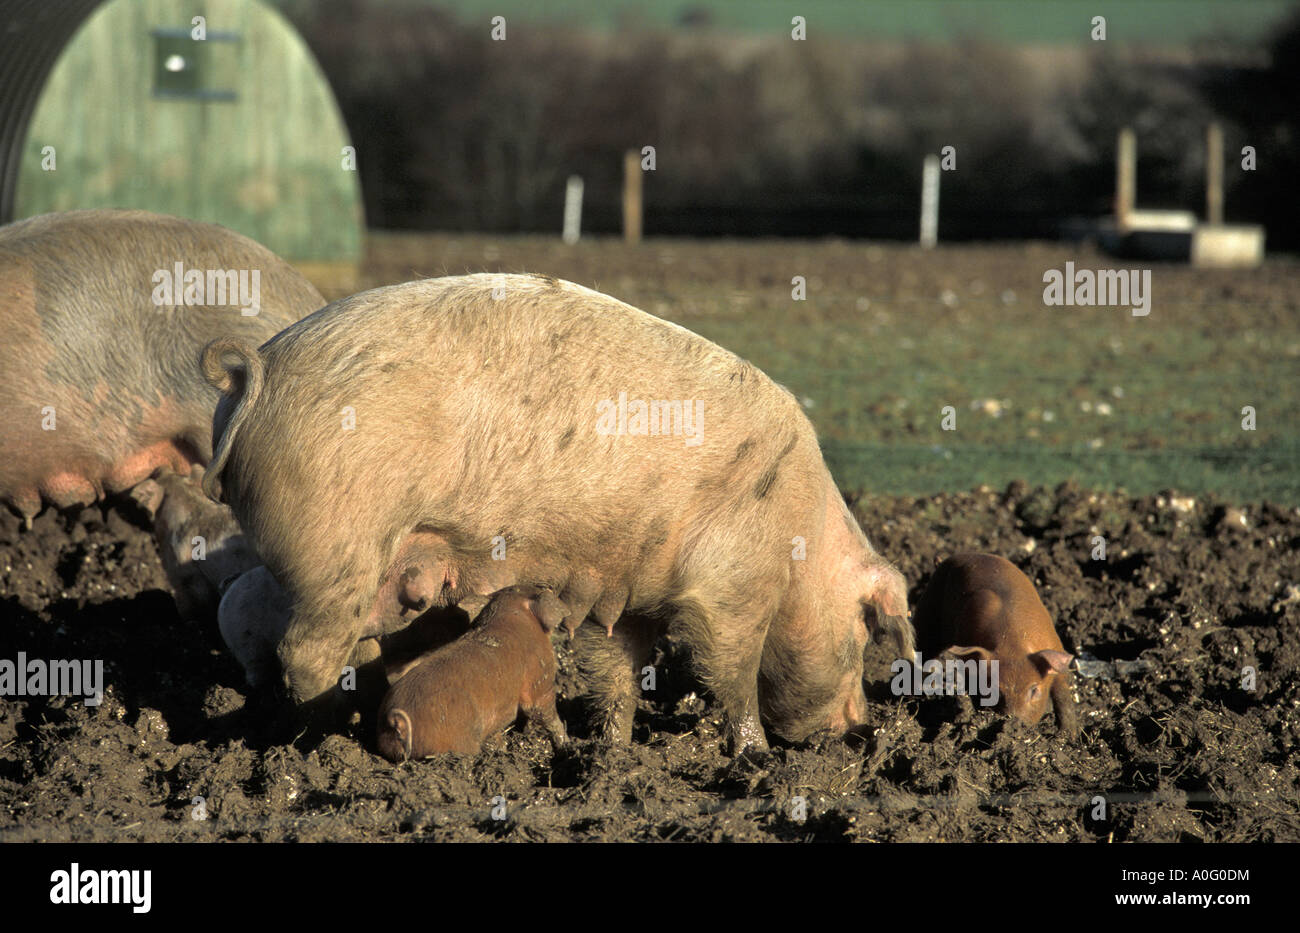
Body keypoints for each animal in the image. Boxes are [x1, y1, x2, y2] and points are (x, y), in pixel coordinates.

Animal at [913, 553, 1076, 733]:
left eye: (1034, 690)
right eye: (994, 690)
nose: (1016, 724)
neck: (1013, 645)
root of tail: (946, 560)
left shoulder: (1054, 647)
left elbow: (1063, 696)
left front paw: (1068, 734)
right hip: (926, 613)